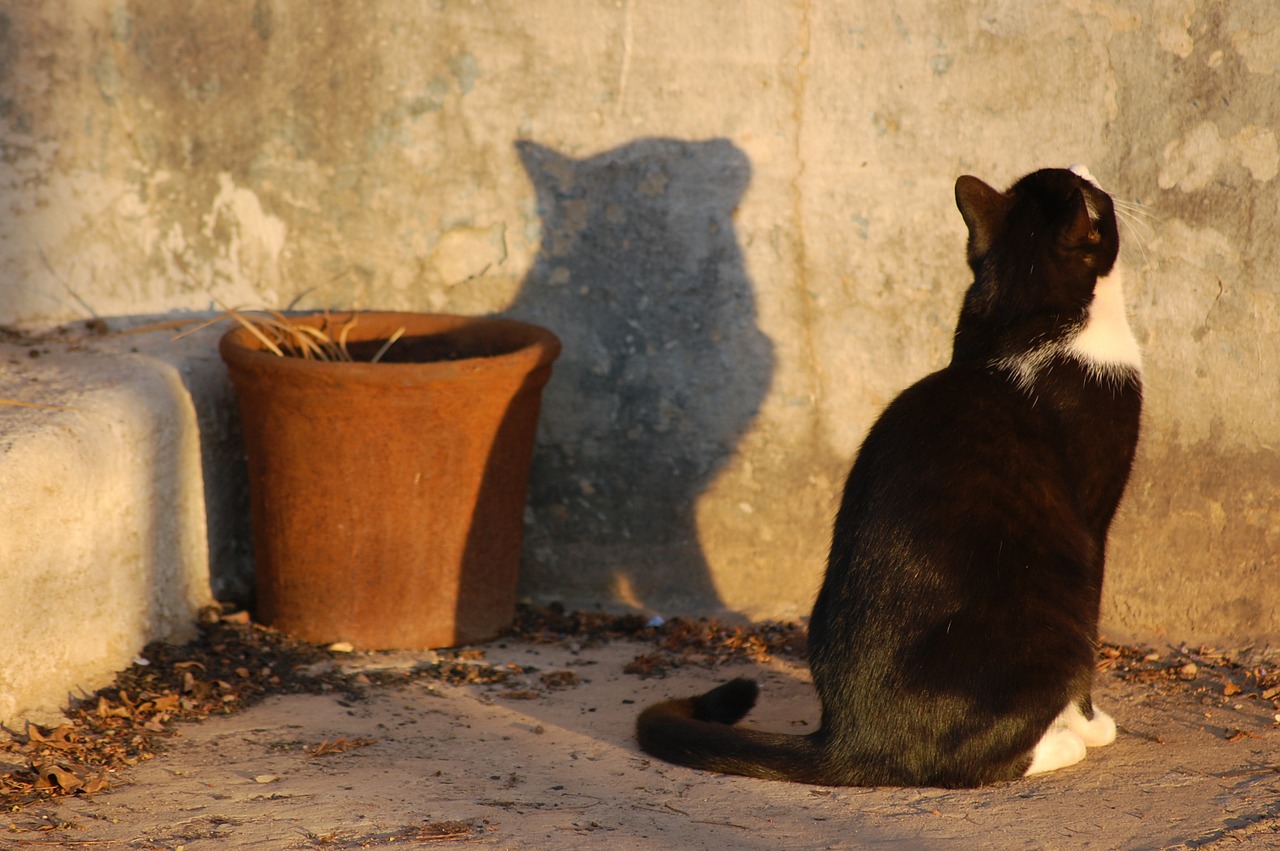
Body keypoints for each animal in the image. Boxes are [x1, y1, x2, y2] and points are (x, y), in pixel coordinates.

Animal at [634, 162, 1146, 788]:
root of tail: (848, 737)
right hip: (1053, 616)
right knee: (965, 761)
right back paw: (1059, 746)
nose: (1088, 169)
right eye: (1091, 194)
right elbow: (1092, 644)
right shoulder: (1094, 520)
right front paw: (1090, 725)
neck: (1032, 318)